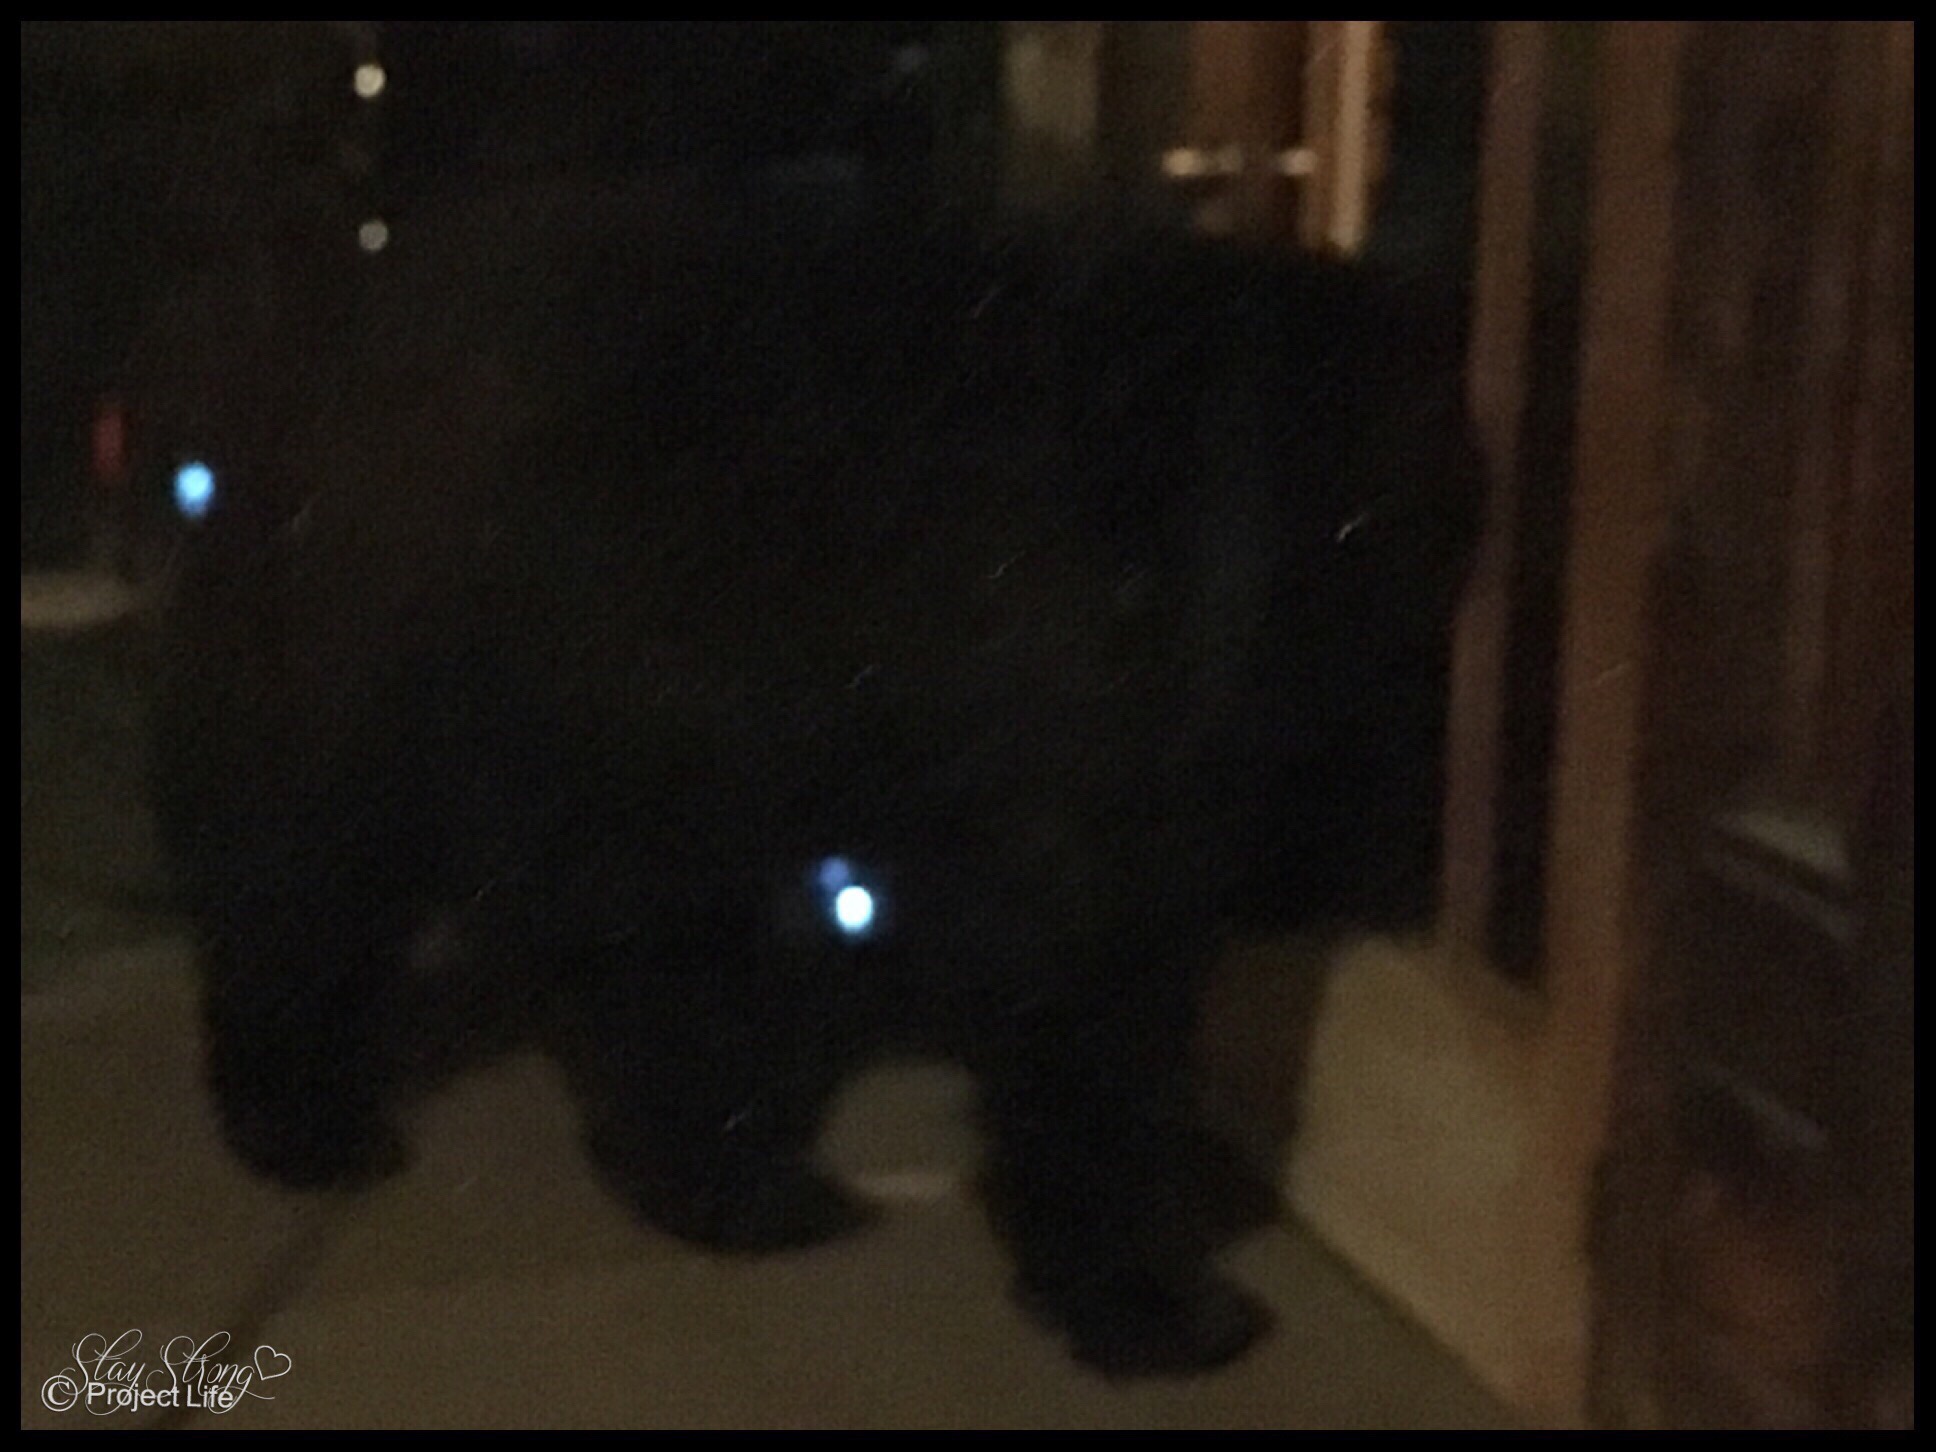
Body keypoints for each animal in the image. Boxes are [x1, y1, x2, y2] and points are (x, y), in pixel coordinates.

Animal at [149, 177, 1483, 1378]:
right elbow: (1094, 1045)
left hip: (637, 751)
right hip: (378, 668)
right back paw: (306, 1119)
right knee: (299, 880)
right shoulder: (1082, 783)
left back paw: (728, 1184)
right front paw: (1148, 1301)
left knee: (640, 979)